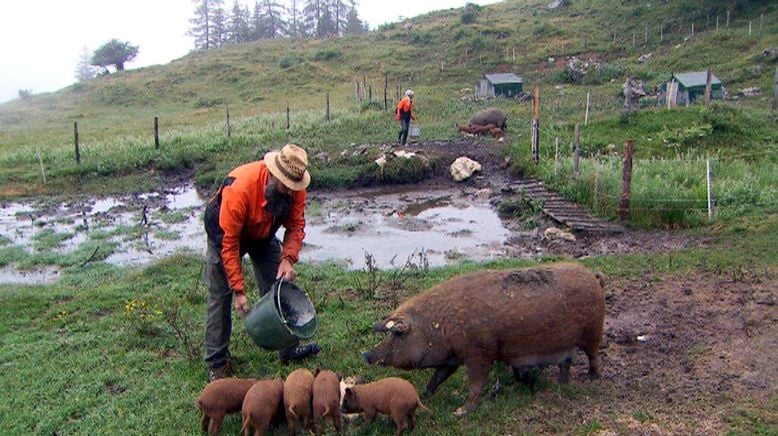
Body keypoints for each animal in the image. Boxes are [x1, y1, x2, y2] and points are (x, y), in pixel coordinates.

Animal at [360, 262, 604, 416]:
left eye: (397, 334)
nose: (366, 354)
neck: (441, 326)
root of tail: (594, 277)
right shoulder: (452, 358)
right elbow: (438, 376)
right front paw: (425, 394)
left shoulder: (479, 352)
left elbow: (476, 384)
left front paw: (459, 412)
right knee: (566, 364)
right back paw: (563, 384)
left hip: (593, 331)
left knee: (593, 355)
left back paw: (592, 378)